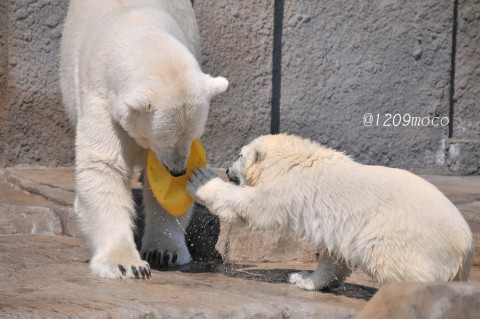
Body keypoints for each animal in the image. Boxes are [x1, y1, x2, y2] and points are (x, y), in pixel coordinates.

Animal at [60, 0, 229, 278]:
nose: (177, 170)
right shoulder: (101, 98)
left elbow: (162, 190)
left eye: (192, 137)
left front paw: (165, 251)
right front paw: (126, 264)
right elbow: (104, 166)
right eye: (165, 141)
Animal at [188, 134, 472, 290]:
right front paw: (302, 278)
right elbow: (335, 257)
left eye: (239, 154)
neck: (294, 158)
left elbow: (250, 206)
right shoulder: (340, 228)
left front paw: (200, 180)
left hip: (405, 238)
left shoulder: (286, 188)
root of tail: (465, 246)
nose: (227, 170)